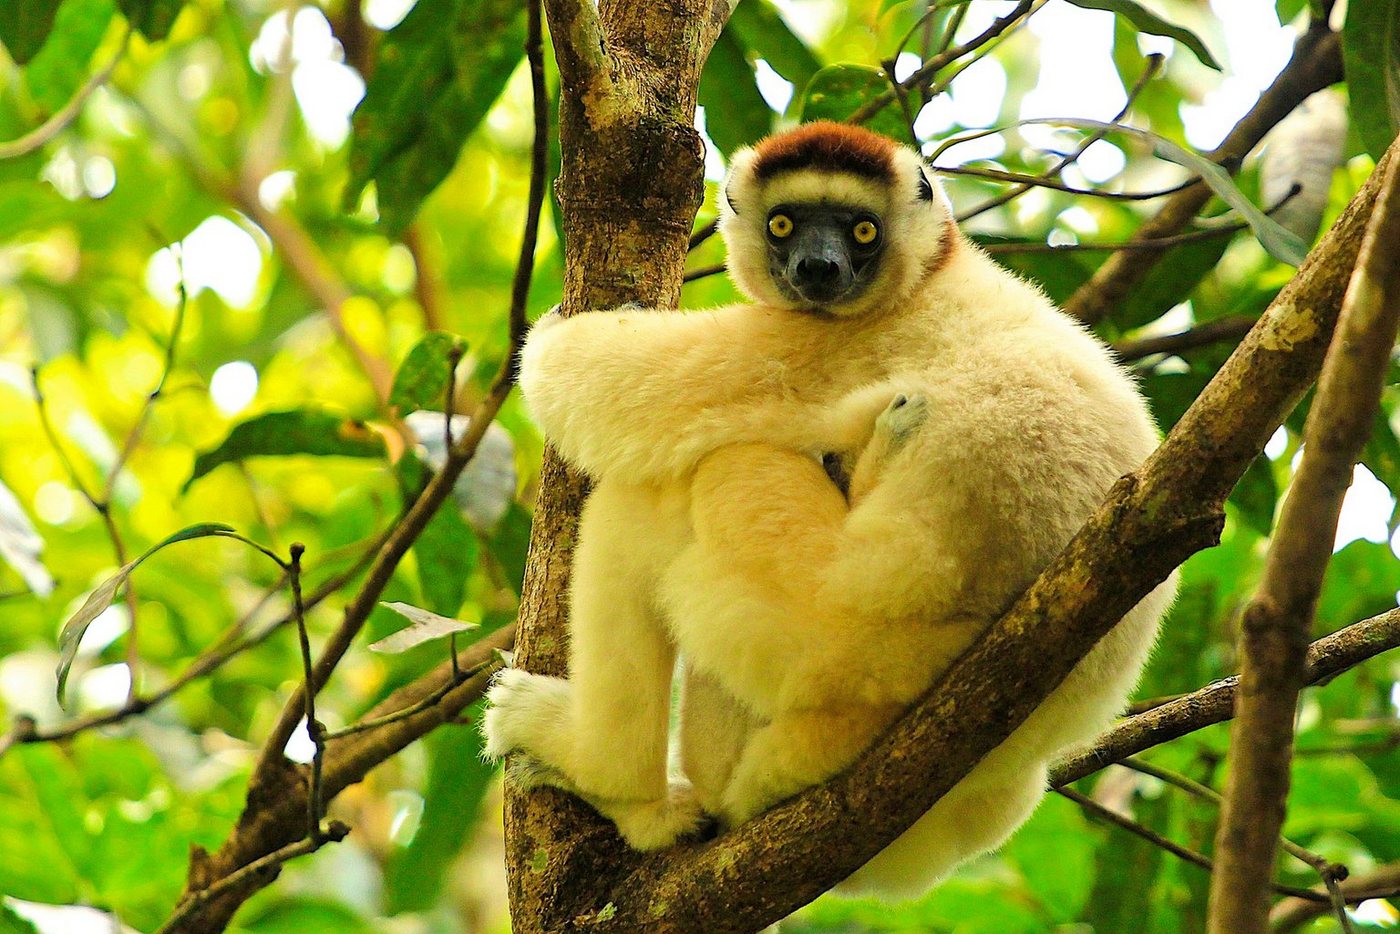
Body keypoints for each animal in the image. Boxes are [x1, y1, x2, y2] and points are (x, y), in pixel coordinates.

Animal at [482, 121, 1175, 895]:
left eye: (861, 230)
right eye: (783, 224)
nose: (818, 270)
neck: (934, 272)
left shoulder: (822, 343)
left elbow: (590, 382)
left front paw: (557, 334)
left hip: (808, 644)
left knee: (662, 498)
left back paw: (609, 776)